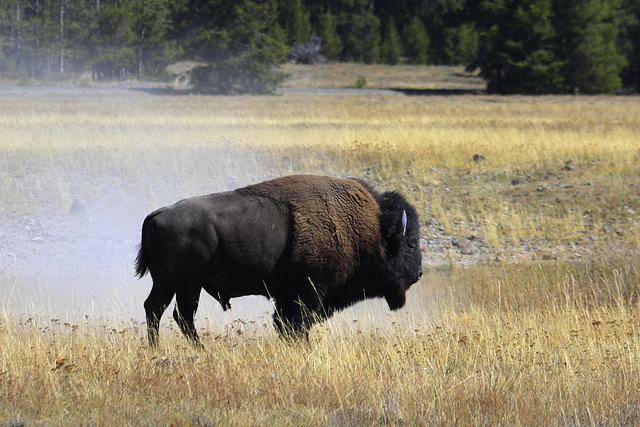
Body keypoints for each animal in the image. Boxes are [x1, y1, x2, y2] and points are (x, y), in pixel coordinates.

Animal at [135, 174, 422, 348]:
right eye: (409, 243)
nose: (419, 273)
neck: (371, 228)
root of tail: (156, 214)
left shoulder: (288, 294)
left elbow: (283, 323)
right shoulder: (311, 290)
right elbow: (298, 323)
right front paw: (303, 347)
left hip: (165, 282)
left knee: (154, 308)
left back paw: (155, 348)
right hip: (188, 285)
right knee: (181, 315)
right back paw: (203, 349)